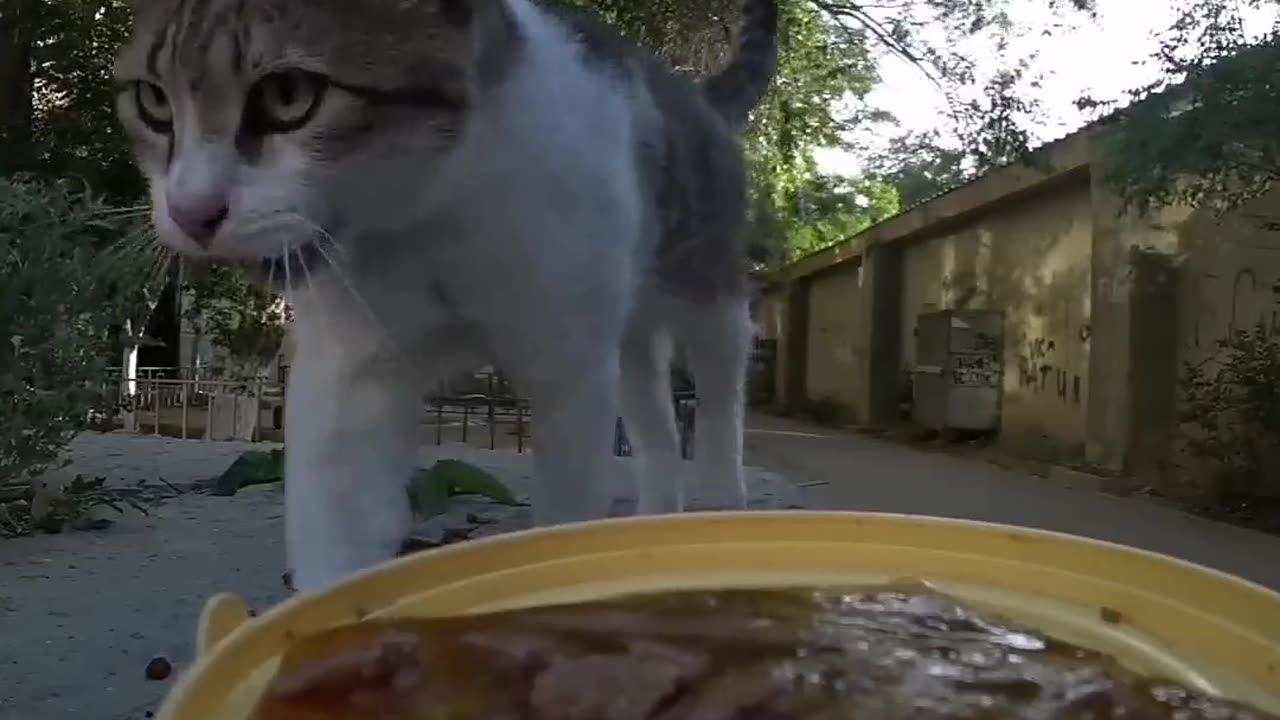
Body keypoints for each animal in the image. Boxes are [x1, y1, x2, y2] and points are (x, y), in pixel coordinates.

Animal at [115, 0, 778, 589]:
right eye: (152, 101)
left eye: (288, 96)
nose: (191, 212)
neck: (429, 214)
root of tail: (693, 91)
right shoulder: (350, 369)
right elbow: (337, 517)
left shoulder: (569, 371)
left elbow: (565, 504)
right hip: (629, 330)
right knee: (653, 415)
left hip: (706, 293)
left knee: (720, 394)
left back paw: (721, 508)